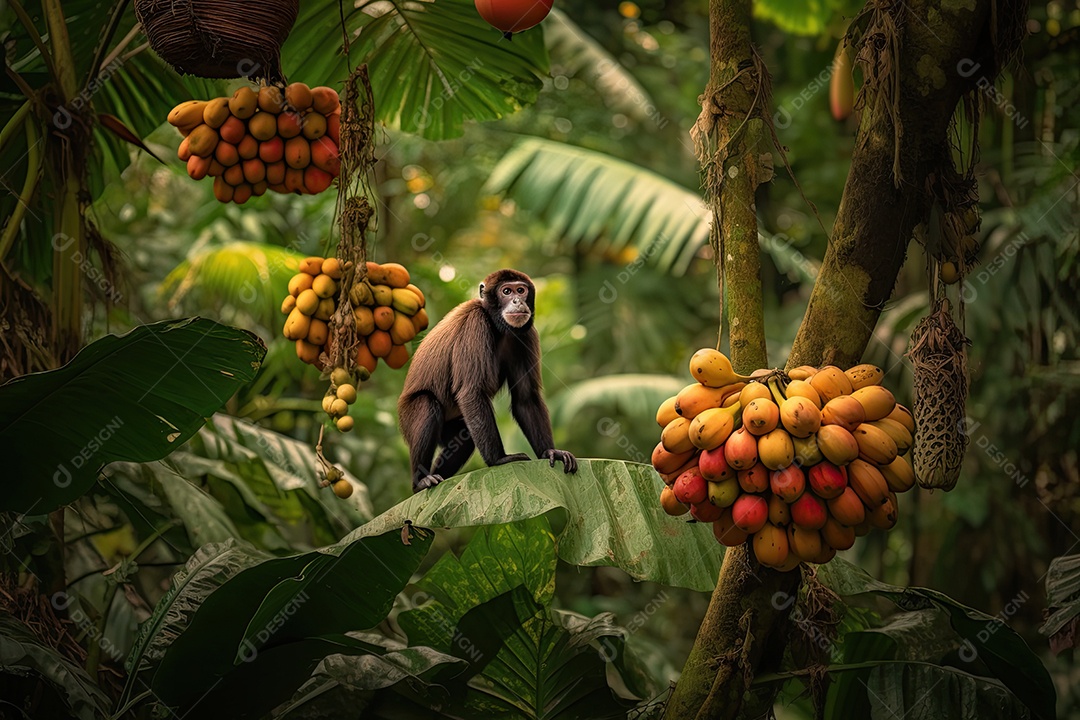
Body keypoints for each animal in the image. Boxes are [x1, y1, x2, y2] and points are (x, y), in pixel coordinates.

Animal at [398, 269, 577, 493]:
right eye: (506, 291)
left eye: (521, 290)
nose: (518, 301)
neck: (496, 325)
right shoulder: (475, 322)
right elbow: (471, 391)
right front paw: (498, 459)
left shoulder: (526, 335)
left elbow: (526, 397)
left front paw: (549, 452)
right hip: (408, 417)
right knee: (427, 404)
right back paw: (421, 482)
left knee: (465, 438)